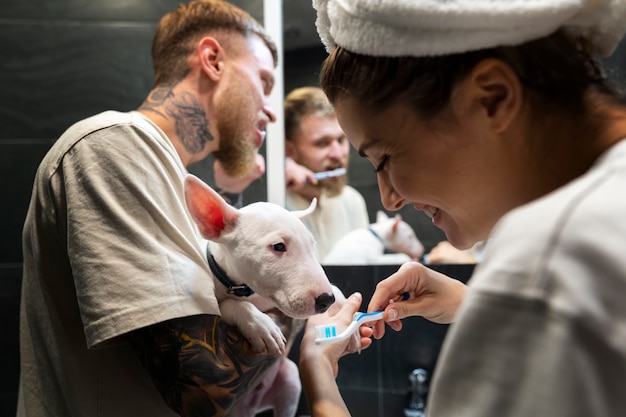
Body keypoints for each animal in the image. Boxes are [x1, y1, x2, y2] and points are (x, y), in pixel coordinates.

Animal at [183, 173, 334, 416]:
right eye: (278, 246)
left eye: (311, 245)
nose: (326, 300)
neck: (246, 290)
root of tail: (252, 405)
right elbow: (229, 306)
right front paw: (262, 327)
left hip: (290, 380)